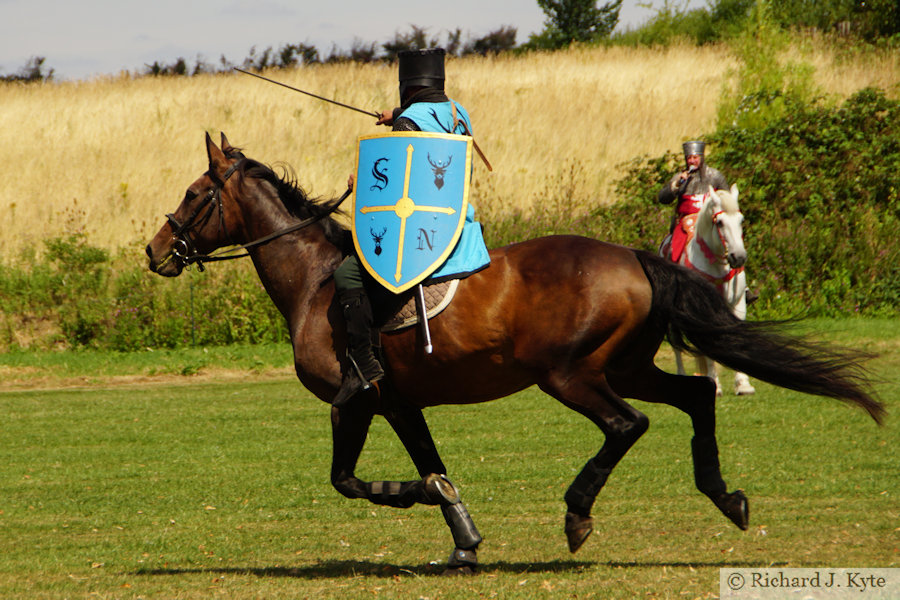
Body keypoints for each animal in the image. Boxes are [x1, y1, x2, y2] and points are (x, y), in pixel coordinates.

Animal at [676, 185, 752, 396]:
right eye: (719, 222)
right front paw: (715, 384)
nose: (738, 257)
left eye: (741, 220)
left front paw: (743, 384)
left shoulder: (738, 305)